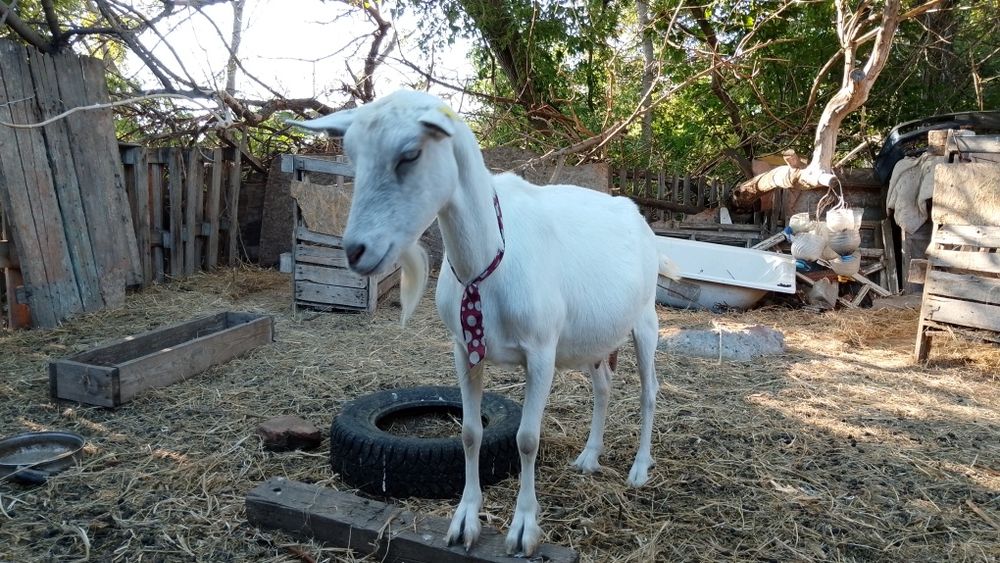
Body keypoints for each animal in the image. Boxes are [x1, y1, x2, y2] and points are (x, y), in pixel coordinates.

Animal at [289, 90, 678, 556]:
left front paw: (524, 529)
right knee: (603, 387)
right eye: (352, 156)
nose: (355, 251)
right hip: (593, 339)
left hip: (646, 321)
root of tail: (634, 211)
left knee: (649, 392)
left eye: (411, 153)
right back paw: (588, 458)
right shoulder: (463, 348)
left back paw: (639, 468)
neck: (489, 260)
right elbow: (471, 433)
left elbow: (527, 438)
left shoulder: (541, 351)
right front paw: (464, 522)